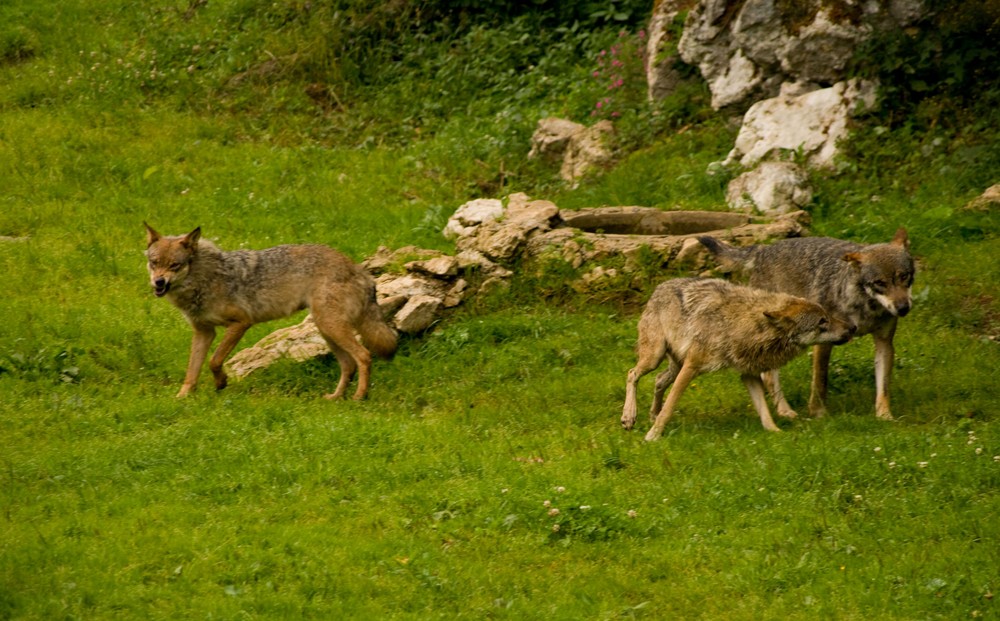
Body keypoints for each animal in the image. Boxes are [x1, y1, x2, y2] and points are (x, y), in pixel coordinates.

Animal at [143, 225, 396, 400]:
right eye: (154, 263)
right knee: (348, 365)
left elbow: (214, 361)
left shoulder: (241, 322)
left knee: (364, 356)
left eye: (175, 265)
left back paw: (359, 397)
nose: (158, 282)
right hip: (327, 330)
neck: (203, 279)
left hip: (331, 327)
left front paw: (221, 383)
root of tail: (359, 270)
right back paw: (335, 398)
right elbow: (192, 371)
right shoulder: (204, 332)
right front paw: (183, 397)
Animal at [624, 276, 852, 440]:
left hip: (674, 366)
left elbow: (764, 411)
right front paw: (653, 436)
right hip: (655, 358)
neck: (739, 323)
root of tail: (659, 287)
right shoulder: (692, 367)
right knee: (632, 373)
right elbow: (670, 407)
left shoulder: (748, 374)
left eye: (828, 316)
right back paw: (628, 417)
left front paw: (776, 432)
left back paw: (651, 414)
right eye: (822, 322)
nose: (852, 327)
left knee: (658, 381)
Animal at [696, 229, 916, 422]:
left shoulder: (884, 343)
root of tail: (763, 250)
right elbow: (820, 382)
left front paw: (885, 416)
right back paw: (785, 411)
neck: (865, 307)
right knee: (769, 377)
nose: (903, 308)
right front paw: (818, 414)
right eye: (880, 283)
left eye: (904, 276)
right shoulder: (824, 342)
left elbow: (883, 388)